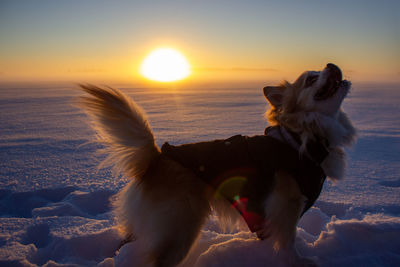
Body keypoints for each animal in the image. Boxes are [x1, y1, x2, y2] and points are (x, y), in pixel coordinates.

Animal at [79, 63, 356, 266]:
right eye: (311, 79)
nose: (332, 64)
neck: (300, 137)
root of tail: (157, 157)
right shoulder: (286, 206)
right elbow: (288, 242)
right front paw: (299, 261)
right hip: (180, 228)